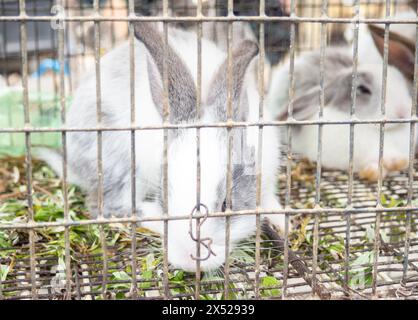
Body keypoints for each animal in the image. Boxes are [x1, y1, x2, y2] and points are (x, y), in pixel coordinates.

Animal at [39, 22, 282, 272]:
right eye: (166, 200)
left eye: (226, 204)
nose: (187, 260)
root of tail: (72, 162)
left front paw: (282, 221)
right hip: (121, 164)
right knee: (114, 207)